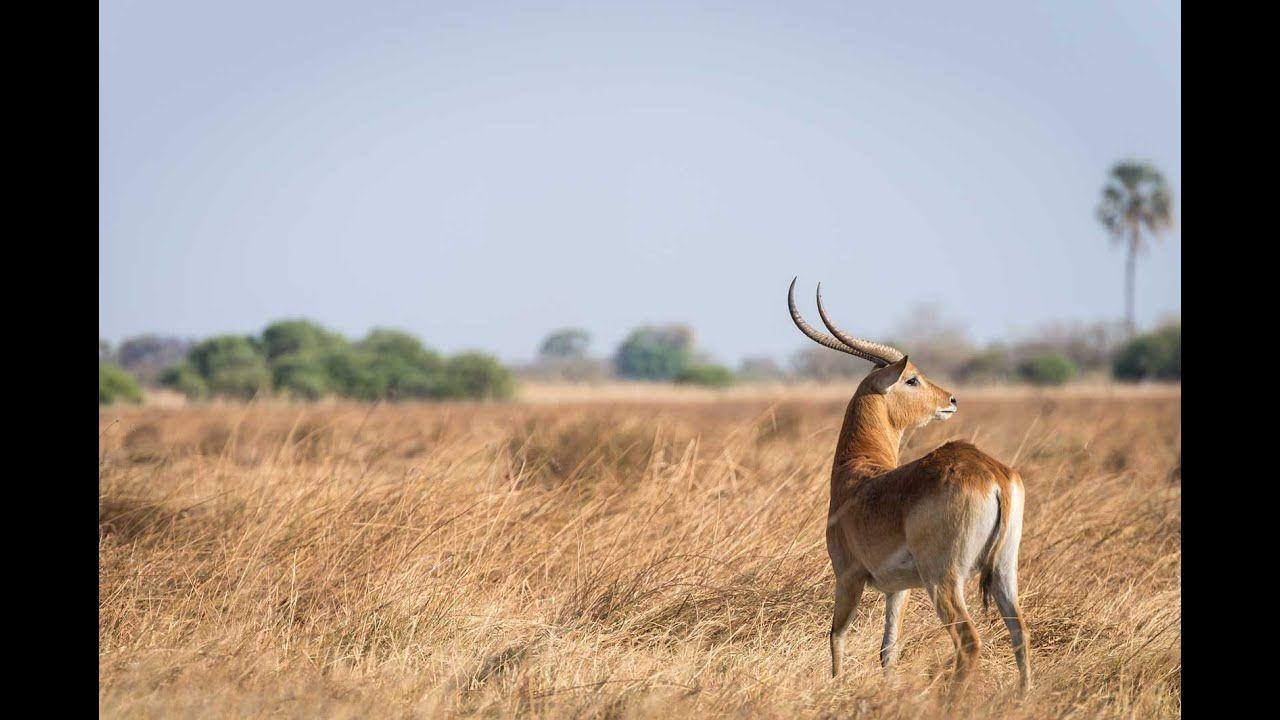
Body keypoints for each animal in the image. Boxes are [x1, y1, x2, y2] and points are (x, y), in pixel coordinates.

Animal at [788, 275, 1029, 691]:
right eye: (911, 379)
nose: (951, 398)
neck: (857, 476)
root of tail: (994, 474)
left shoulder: (847, 576)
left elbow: (836, 635)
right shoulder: (897, 588)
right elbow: (888, 649)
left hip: (943, 580)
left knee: (969, 641)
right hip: (1002, 571)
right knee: (1020, 633)